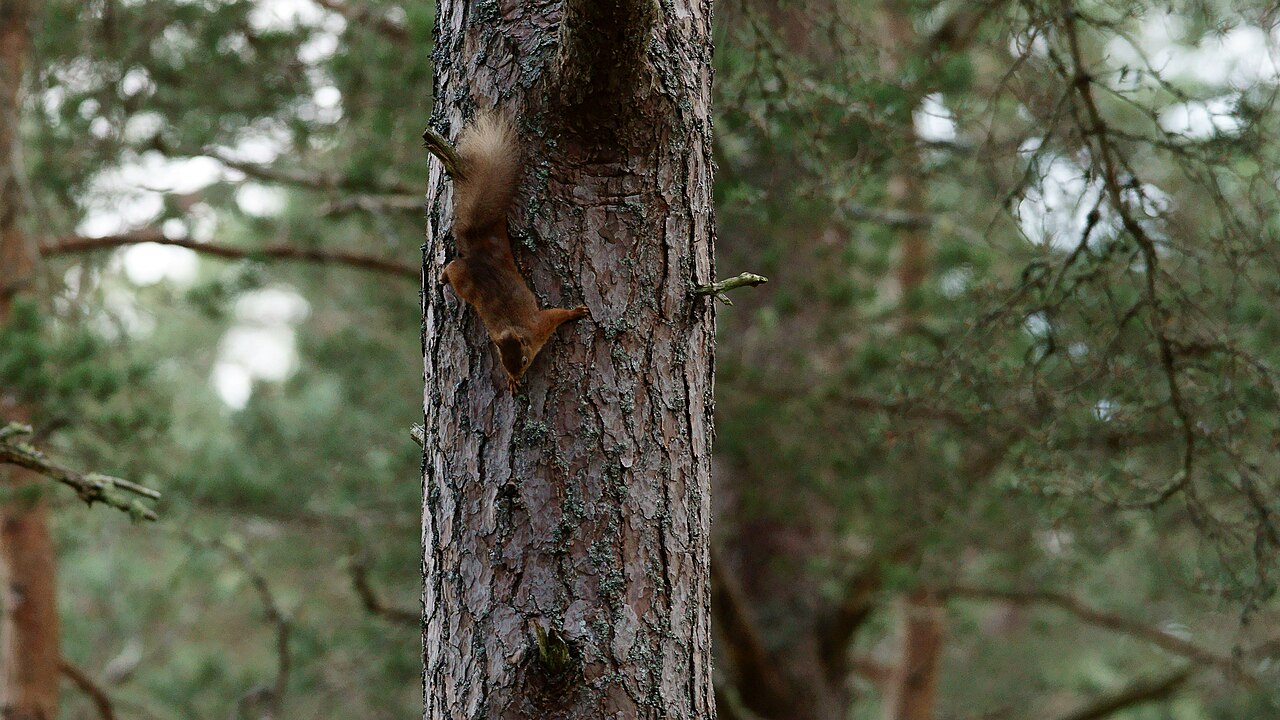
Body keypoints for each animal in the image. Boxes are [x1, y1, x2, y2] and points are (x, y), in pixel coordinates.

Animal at [438, 113, 587, 392]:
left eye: (525, 359)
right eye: (503, 361)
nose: (516, 375)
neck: (517, 330)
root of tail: (480, 250)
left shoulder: (540, 325)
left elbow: (559, 314)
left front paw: (576, 312)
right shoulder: (539, 325)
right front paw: (511, 382)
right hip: (465, 282)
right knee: (452, 267)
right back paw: (442, 276)